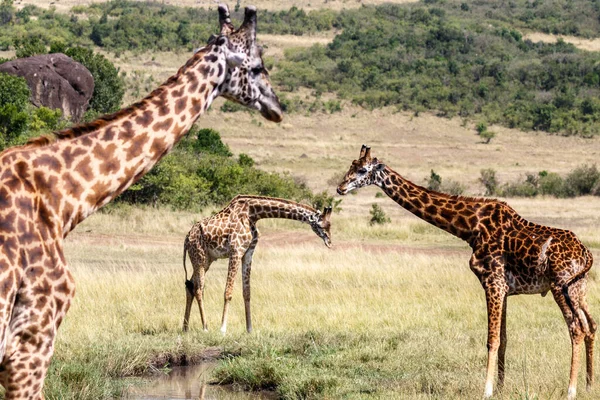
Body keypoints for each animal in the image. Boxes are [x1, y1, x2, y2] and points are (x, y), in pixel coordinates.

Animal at [183, 195, 332, 332]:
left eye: (330, 225)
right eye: (320, 225)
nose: (329, 242)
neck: (252, 214)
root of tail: (187, 238)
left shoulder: (248, 252)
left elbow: (247, 292)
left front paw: (249, 329)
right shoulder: (236, 251)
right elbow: (228, 292)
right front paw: (223, 329)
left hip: (206, 261)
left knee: (190, 285)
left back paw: (185, 328)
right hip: (199, 259)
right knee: (198, 289)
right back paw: (205, 327)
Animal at [338, 145, 596, 398]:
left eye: (362, 170)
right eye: (351, 165)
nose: (340, 187)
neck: (470, 228)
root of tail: (586, 253)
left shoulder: (493, 282)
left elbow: (491, 340)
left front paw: (487, 391)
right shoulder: (503, 288)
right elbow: (503, 339)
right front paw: (500, 388)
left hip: (559, 286)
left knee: (576, 329)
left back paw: (571, 390)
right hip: (578, 287)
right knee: (591, 325)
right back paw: (589, 385)